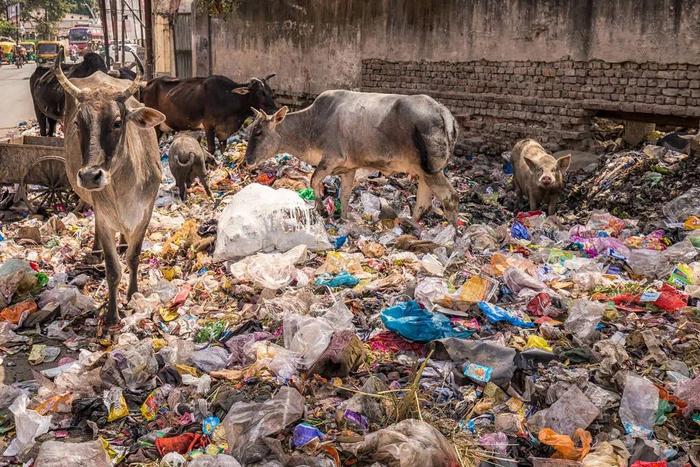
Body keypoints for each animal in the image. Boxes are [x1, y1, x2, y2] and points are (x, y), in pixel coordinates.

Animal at [53, 48, 165, 326]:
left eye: (116, 122)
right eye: (78, 124)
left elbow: (134, 257)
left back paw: (123, 242)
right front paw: (112, 315)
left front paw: (133, 294)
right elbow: (113, 269)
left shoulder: (145, 213)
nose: (90, 176)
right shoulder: (104, 220)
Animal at [142, 74, 278, 153]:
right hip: (154, 126)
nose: (274, 110)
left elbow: (223, 148)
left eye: (270, 91)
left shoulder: (223, 131)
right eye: (260, 92)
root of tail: (149, 83)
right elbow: (211, 149)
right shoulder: (208, 126)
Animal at [245, 91, 460, 225]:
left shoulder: (330, 160)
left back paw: (452, 235)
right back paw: (411, 225)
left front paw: (321, 208)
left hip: (431, 170)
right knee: (424, 201)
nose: (247, 160)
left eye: (259, 132)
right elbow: (345, 194)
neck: (312, 124)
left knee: (449, 197)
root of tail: (442, 111)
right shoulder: (348, 168)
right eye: (250, 130)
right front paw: (343, 218)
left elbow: (313, 180)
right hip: (425, 171)